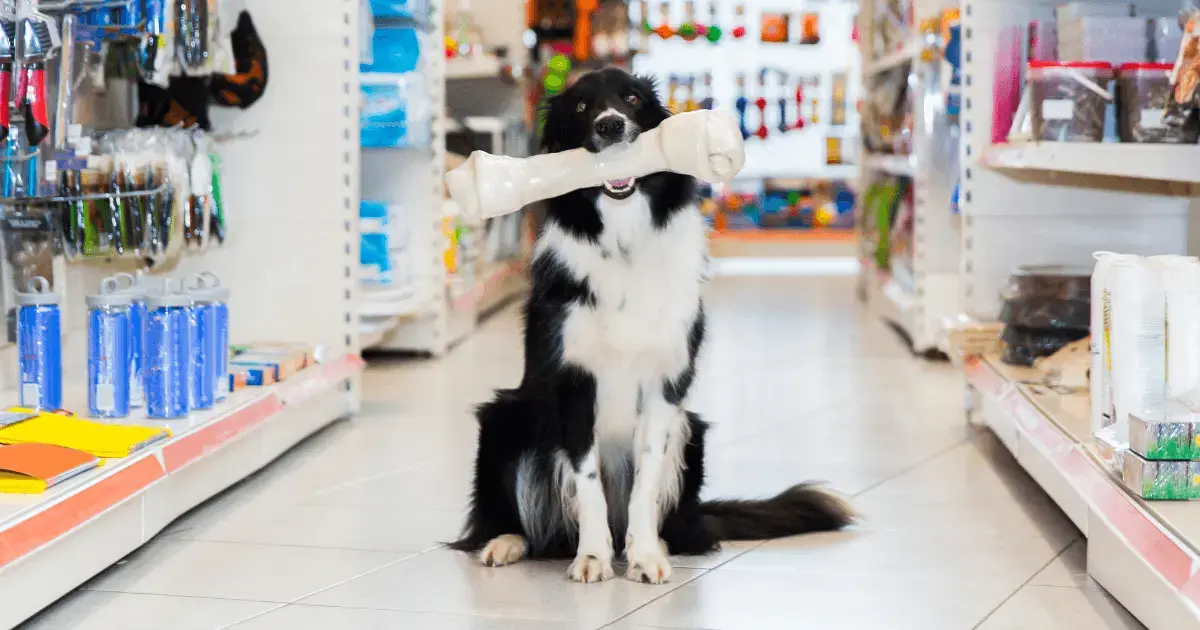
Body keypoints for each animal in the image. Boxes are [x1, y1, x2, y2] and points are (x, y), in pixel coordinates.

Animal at [451, 66, 854, 583]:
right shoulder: (574, 383)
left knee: (678, 525)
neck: (623, 240)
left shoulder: (666, 385)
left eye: (631, 99)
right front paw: (593, 558)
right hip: (506, 416)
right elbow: (587, 483)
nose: (610, 126)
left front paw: (643, 555)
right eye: (581, 107)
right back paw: (507, 542)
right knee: (520, 521)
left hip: (692, 432)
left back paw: (659, 541)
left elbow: (645, 479)